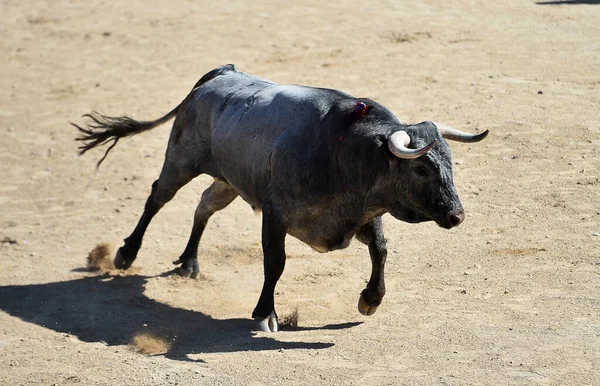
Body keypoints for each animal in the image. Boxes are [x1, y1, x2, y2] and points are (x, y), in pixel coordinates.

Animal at [74, 64, 488, 332]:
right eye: (421, 169)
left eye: (450, 162)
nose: (457, 215)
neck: (343, 152)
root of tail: (221, 74)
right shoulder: (275, 215)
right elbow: (275, 262)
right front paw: (265, 313)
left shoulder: (363, 216)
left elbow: (381, 251)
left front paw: (371, 300)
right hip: (181, 160)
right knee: (157, 198)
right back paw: (126, 254)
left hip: (228, 180)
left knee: (204, 206)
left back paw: (189, 262)